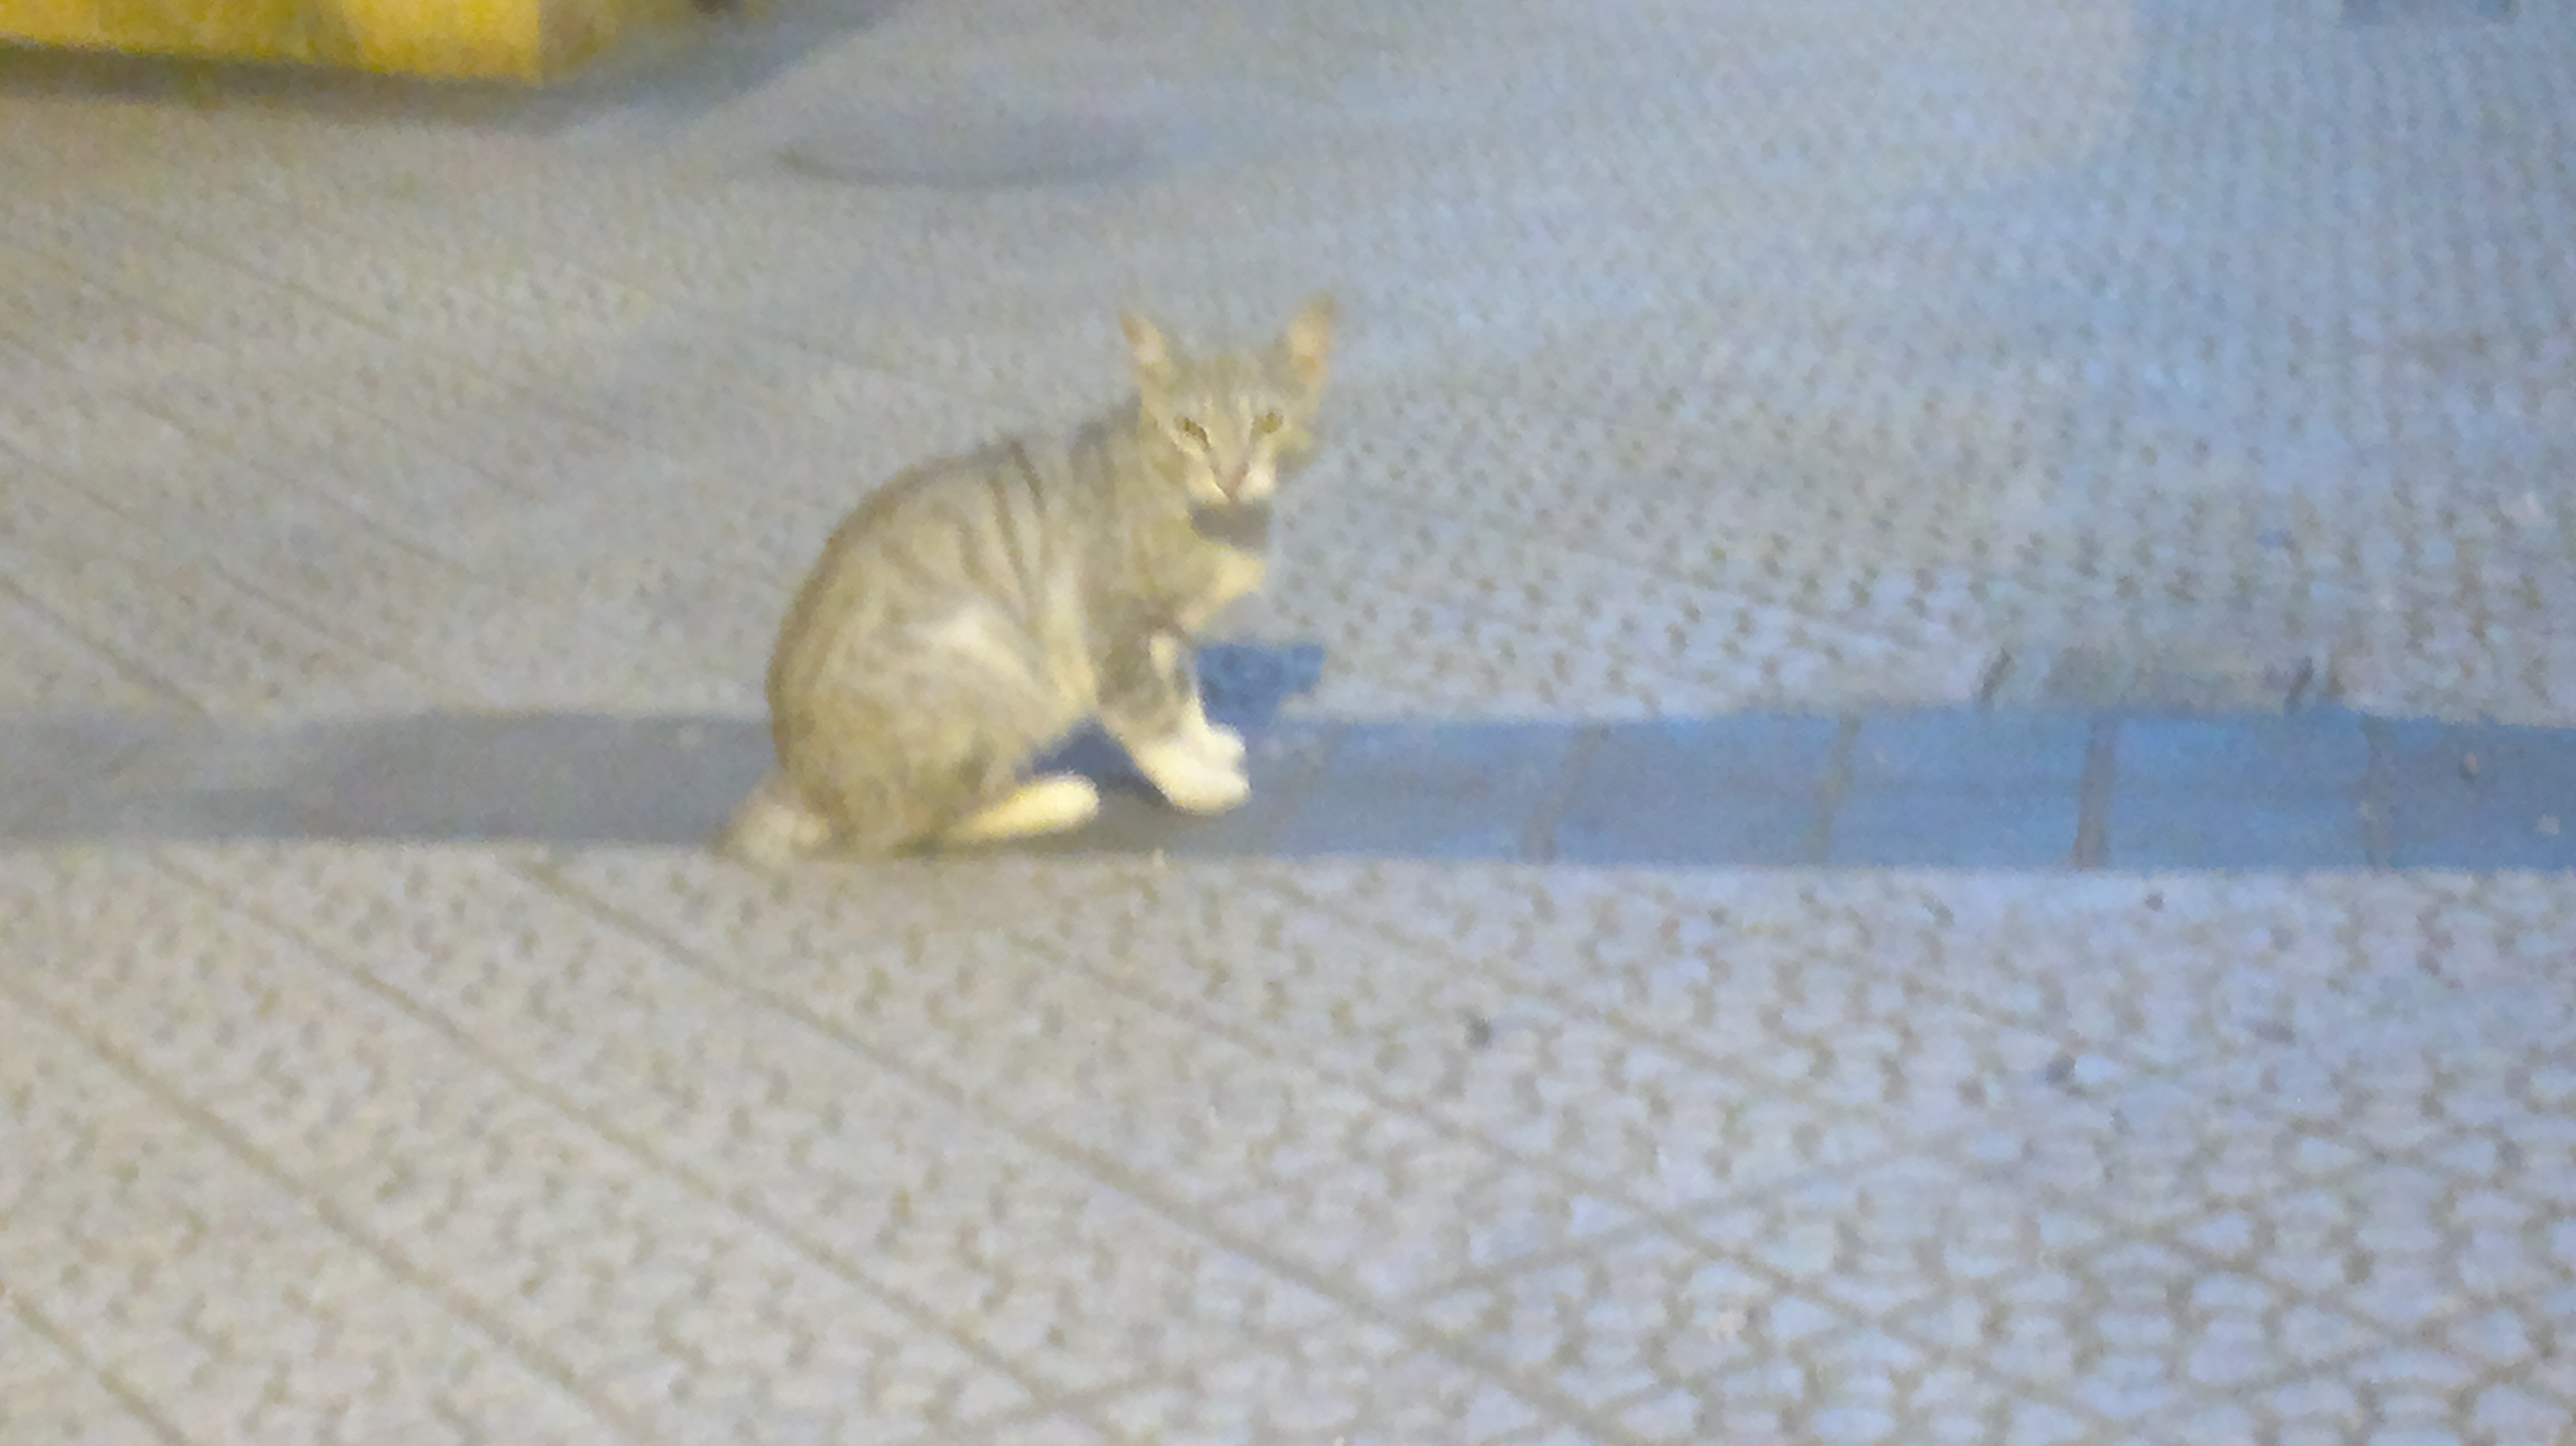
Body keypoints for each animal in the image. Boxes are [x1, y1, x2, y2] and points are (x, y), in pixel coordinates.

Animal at [716, 291, 1339, 856]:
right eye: (1190, 428)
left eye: (1268, 423)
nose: (1231, 475)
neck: (1222, 521)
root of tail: (803, 782)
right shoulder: (1115, 627)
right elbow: (1147, 718)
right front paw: (1197, 784)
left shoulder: (1167, 627)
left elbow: (1182, 691)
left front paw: (1205, 742)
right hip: (985, 655)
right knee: (919, 825)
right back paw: (1054, 798)